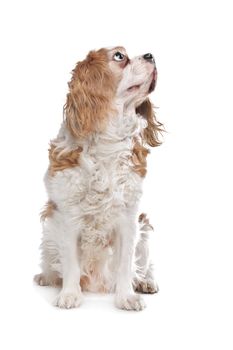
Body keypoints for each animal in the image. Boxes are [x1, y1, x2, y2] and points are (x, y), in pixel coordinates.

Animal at [34, 47, 162, 312]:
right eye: (119, 56)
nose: (150, 55)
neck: (108, 139)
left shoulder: (128, 217)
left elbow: (125, 264)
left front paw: (126, 297)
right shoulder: (67, 216)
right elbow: (70, 263)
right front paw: (70, 294)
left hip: (144, 229)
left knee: (143, 264)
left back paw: (145, 281)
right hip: (49, 229)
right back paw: (46, 276)